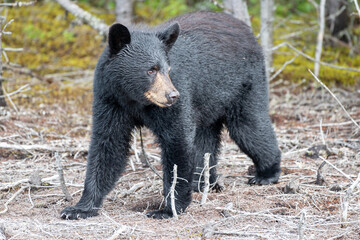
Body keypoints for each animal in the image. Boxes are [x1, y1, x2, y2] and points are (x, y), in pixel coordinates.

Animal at [61, 11, 282, 219]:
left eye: (167, 69)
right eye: (151, 70)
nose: (172, 95)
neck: (134, 99)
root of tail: (247, 30)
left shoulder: (176, 98)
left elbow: (177, 142)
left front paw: (169, 209)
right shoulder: (110, 100)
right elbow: (108, 144)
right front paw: (80, 208)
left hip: (244, 84)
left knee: (249, 127)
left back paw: (266, 174)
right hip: (207, 102)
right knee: (205, 141)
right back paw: (202, 183)